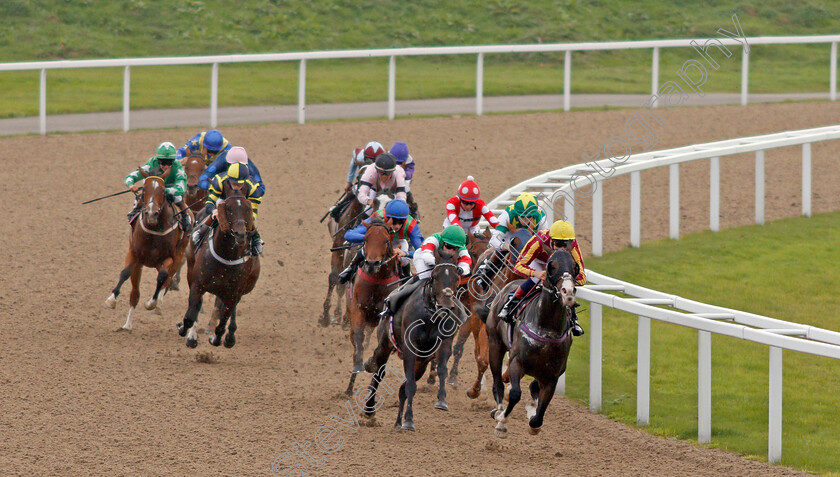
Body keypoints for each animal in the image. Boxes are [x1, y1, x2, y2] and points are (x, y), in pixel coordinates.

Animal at [105, 169, 189, 330]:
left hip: (178, 256)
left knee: (167, 279)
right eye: (144, 189)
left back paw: (158, 305)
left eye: (163, 190)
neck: (154, 228)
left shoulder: (169, 258)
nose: (151, 213)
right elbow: (125, 273)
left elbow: (162, 277)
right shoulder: (134, 254)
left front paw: (151, 303)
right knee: (135, 294)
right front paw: (111, 299)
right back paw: (127, 325)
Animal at [175, 188, 260, 348]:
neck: (227, 256)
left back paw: (230, 336)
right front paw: (186, 332)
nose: (240, 234)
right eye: (228, 208)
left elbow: (222, 324)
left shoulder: (233, 293)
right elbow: (190, 317)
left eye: (248, 208)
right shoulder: (198, 285)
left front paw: (217, 338)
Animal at [346, 221, 402, 396]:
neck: (377, 279)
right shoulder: (358, 308)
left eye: (385, 240)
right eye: (365, 239)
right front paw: (358, 364)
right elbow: (359, 337)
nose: (371, 264)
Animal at [486, 247, 576, 436]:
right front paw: (502, 423)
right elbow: (515, 393)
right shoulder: (517, 362)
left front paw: (532, 417)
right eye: (551, 265)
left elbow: (540, 413)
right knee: (498, 381)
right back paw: (498, 410)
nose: (568, 293)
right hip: (495, 343)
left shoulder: (552, 376)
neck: (547, 328)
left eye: (574, 266)